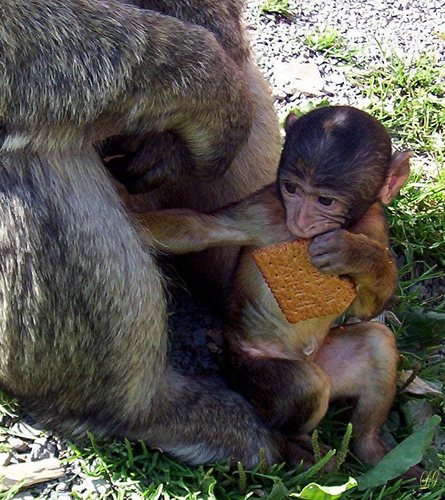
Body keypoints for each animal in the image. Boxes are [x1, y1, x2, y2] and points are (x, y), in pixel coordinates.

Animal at [137, 106, 412, 468]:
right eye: (291, 188)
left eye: (325, 201)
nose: (300, 219)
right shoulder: (262, 210)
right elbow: (198, 228)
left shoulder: (376, 226)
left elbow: (368, 308)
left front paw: (355, 253)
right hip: (250, 372)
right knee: (305, 385)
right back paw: (297, 445)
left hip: (329, 360)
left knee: (377, 342)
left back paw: (370, 447)